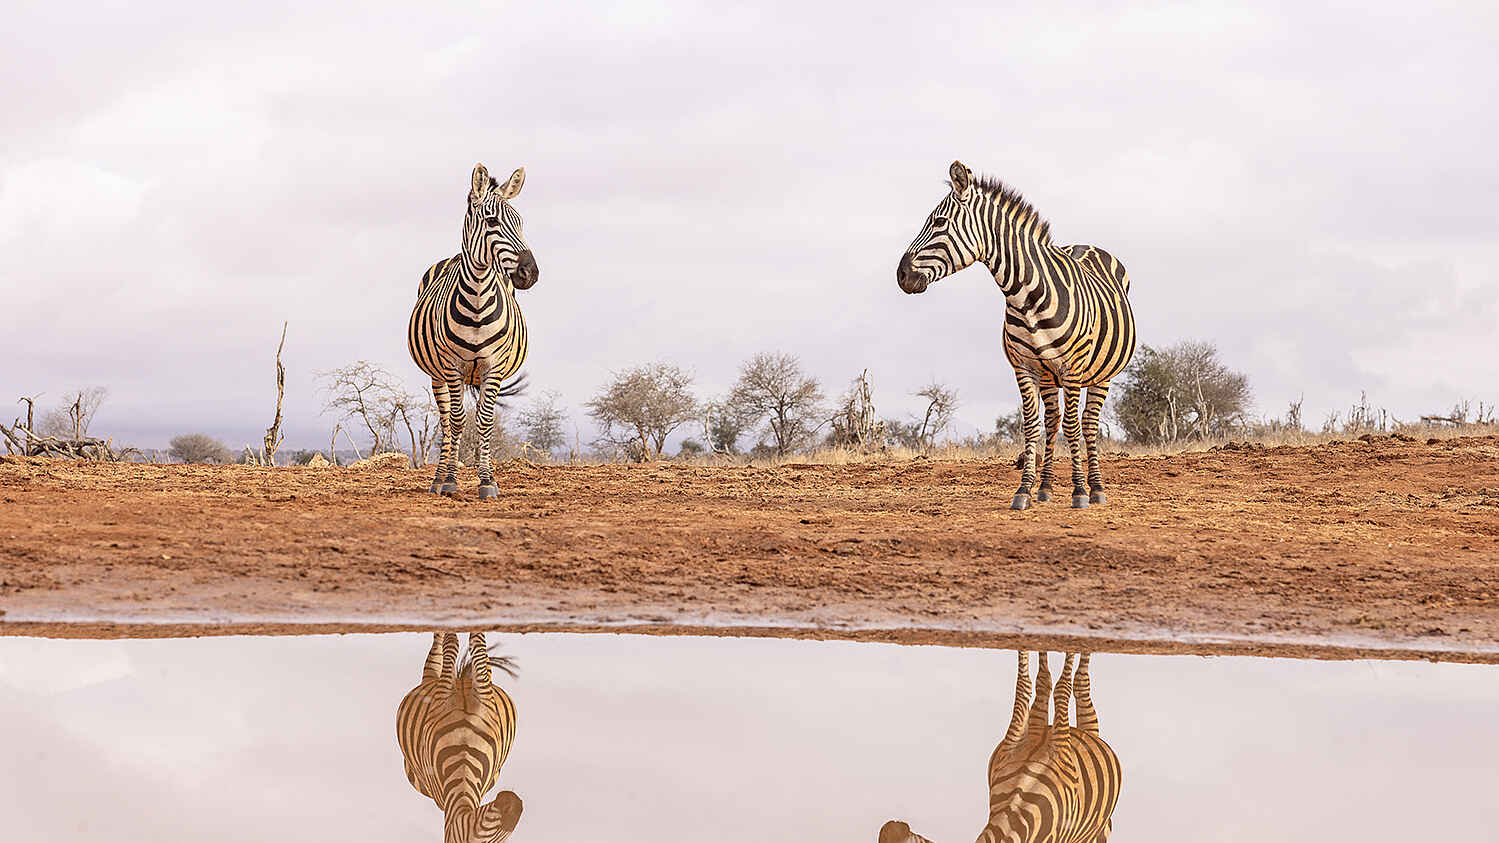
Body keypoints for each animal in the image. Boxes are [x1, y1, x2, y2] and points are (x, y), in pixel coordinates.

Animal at [408, 163, 539, 497]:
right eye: (492, 221)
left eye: (521, 222)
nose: (530, 273)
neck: (478, 301)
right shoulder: (453, 365)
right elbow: (456, 421)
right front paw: (452, 480)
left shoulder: (493, 365)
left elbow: (486, 420)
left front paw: (487, 480)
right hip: (437, 375)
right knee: (444, 421)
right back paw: (438, 479)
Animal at [880, 651, 1122, 843]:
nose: (896, 825)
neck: (1016, 803)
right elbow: (1041, 685)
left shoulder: (1035, 749)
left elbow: (1037, 686)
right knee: (1065, 683)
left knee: (1067, 682)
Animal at [897, 161, 1136, 510]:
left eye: (939, 222)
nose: (901, 275)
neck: (1026, 294)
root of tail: (1086, 244)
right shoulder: (1024, 367)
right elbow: (1033, 425)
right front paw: (1024, 490)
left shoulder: (1073, 367)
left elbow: (1073, 426)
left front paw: (1078, 492)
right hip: (1049, 376)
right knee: (1052, 421)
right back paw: (1046, 487)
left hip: (1100, 373)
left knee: (1088, 424)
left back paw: (1095, 488)